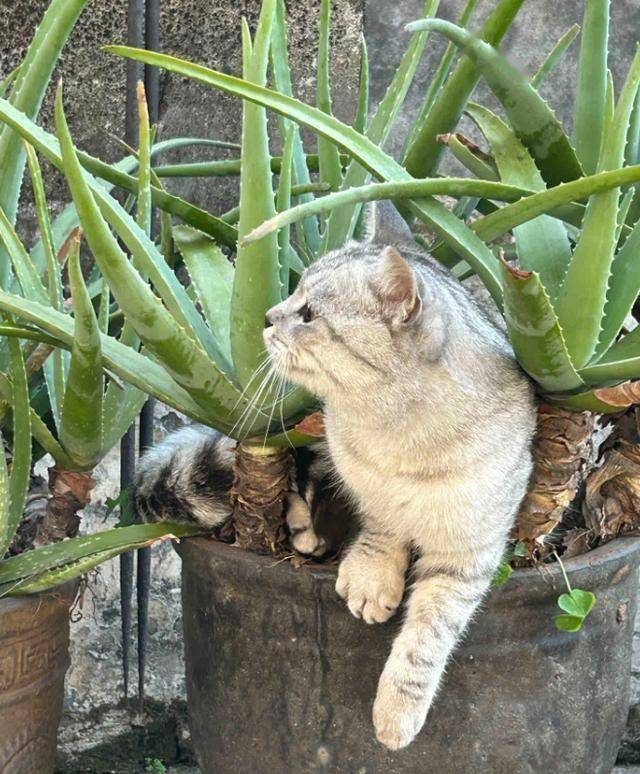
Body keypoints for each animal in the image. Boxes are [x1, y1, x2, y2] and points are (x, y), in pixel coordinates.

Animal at [135, 200, 536, 751]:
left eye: (308, 314)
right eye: (293, 292)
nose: (266, 316)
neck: (395, 441)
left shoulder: (468, 549)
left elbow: (427, 637)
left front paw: (396, 712)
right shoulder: (364, 484)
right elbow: (381, 527)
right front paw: (370, 575)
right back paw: (303, 528)